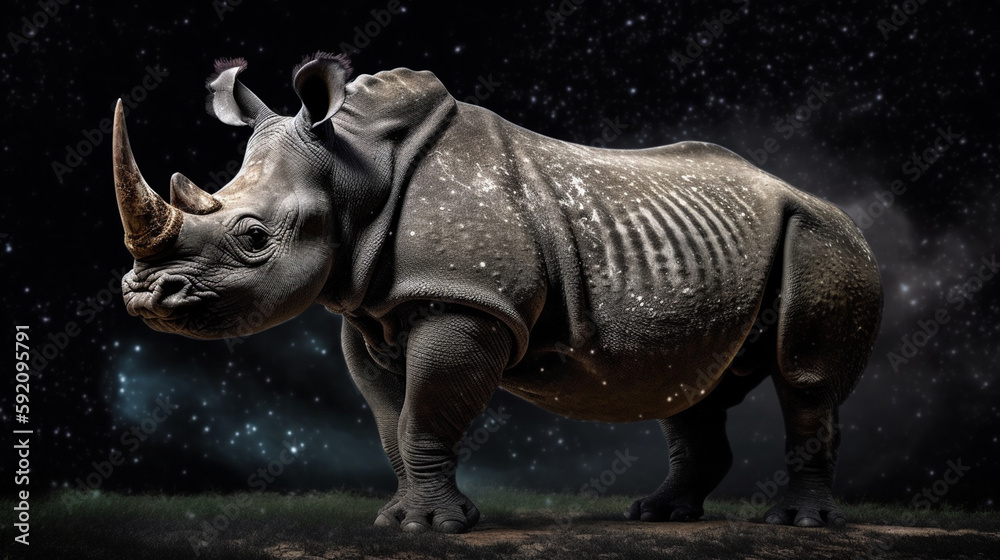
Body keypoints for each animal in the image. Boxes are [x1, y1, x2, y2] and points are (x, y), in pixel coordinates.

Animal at [112, 52, 882, 533]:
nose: (145, 296)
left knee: (805, 381)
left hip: (826, 240)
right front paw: (401, 520)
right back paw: (658, 515)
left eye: (252, 237)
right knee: (689, 382)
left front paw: (431, 528)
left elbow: (424, 414)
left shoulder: (466, 299)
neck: (353, 169)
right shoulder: (367, 310)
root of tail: (838, 209)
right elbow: (390, 423)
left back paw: (797, 525)